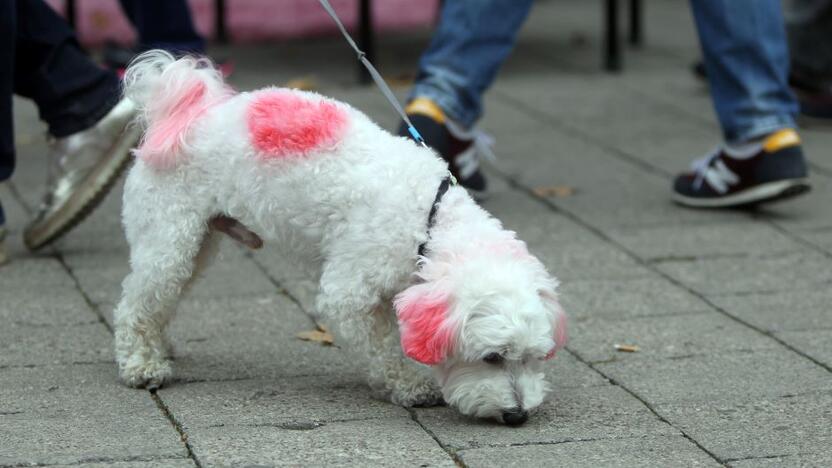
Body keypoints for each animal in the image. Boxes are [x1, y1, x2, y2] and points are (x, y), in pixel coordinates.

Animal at [114, 50, 568, 424]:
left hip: (198, 244)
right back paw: (141, 364)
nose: (518, 416)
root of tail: (182, 117)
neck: (428, 217)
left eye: (535, 358)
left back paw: (159, 347)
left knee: (160, 300)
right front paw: (408, 386)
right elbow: (381, 348)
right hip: (168, 238)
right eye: (492, 357)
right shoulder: (349, 293)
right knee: (134, 305)